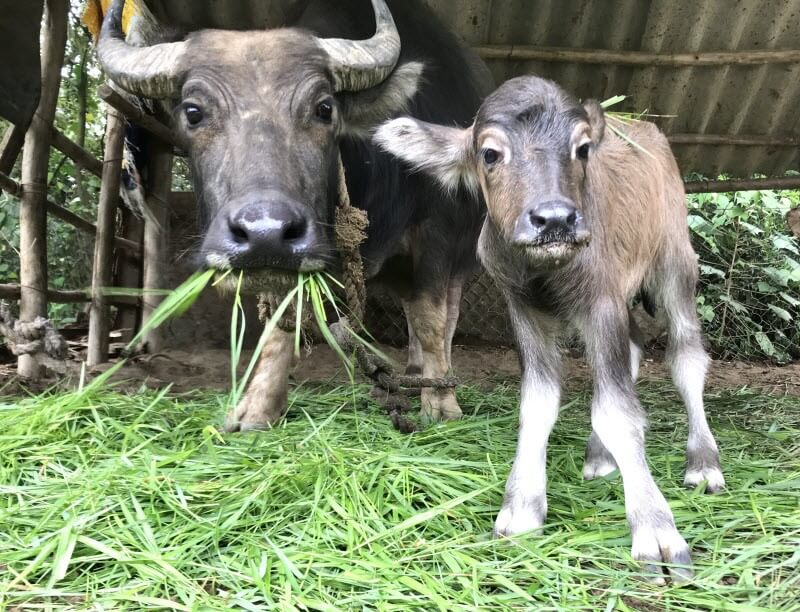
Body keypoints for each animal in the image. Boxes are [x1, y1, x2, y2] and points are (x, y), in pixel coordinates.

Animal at [97, 0, 490, 430]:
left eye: (324, 109)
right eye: (193, 112)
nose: (263, 232)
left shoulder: (437, 234)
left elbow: (431, 319)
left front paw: (442, 406)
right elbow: (280, 323)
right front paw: (257, 407)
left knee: (444, 314)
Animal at [376, 76, 724, 584]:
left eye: (582, 148)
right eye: (490, 153)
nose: (555, 219)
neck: (544, 271)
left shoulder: (601, 302)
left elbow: (620, 412)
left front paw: (657, 532)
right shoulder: (523, 310)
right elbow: (538, 404)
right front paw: (522, 507)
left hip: (675, 262)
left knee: (685, 356)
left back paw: (703, 463)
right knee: (634, 349)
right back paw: (600, 456)